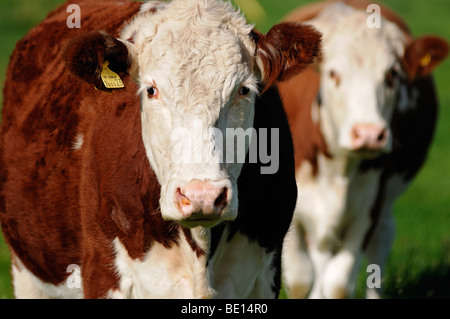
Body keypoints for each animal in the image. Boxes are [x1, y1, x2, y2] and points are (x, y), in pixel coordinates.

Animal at [280, 0, 448, 300]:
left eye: (392, 74)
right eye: (333, 74)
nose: (369, 134)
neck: (338, 166)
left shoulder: (370, 204)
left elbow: (338, 284)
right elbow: (300, 279)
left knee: (379, 246)